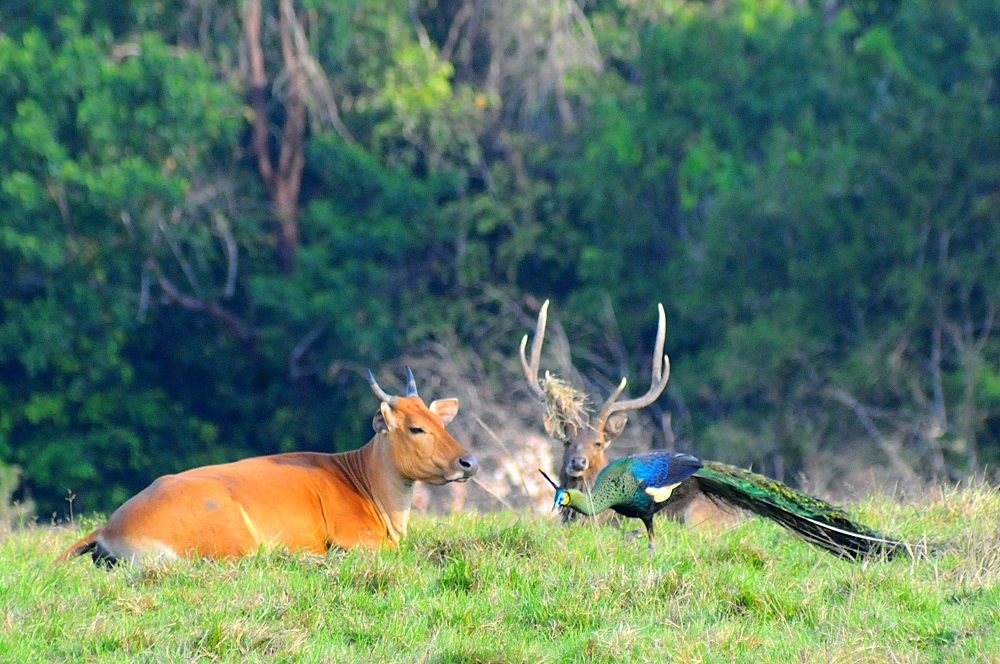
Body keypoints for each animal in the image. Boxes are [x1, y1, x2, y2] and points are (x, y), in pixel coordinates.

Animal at [56, 368, 478, 564]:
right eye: (416, 427)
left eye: (442, 422)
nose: (469, 461)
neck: (365, 484)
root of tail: (110, 526)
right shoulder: (358, 540)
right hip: (237, 541)